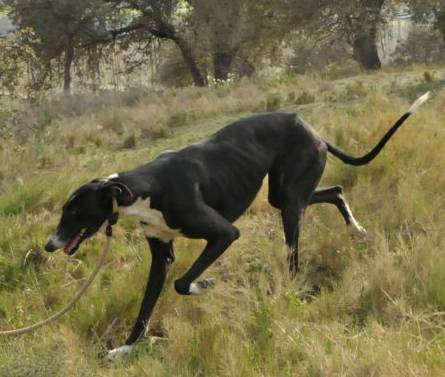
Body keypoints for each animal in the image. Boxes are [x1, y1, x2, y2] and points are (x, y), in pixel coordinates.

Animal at [44, 91, 426, 356]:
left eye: (76, 213)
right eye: (64, 209)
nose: (49, 244)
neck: (145, 189)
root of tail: (311, 128)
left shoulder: (224, 234)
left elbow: (182, 284)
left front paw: (206, 284)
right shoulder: (160, 254)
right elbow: (146, 306)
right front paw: (126, 348)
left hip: (290, 202)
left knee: (294, 254)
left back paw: (291, 288)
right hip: (286, 195)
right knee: (335, 190)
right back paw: (355, 229)